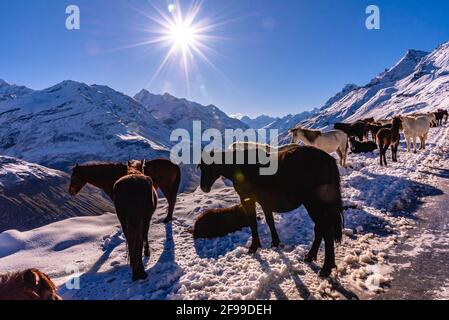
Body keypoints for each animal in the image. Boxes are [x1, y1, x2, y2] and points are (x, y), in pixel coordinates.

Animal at [197, 145, 344, 278]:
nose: (204, 187)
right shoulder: (265, 202)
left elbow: (253, 223)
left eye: (206, 167)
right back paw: (311, 256)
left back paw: (326, 267)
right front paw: (275, 242)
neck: (238, 165)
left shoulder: (247, 199)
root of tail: (328, 160)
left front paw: (254, 246)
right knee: (320, 228)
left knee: (325, 230)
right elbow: (270, 221)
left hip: (313, 203)